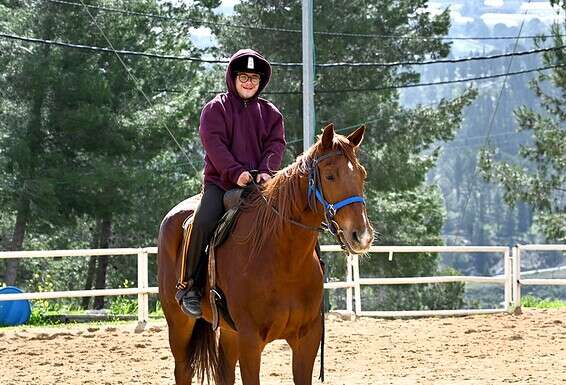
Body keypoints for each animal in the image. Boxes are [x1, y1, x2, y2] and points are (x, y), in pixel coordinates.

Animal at [158, 123, 374, 384]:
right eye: (330, 175)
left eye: (362, 174)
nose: (361, 236)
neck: (284, 260)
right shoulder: (250, 341)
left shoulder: (307, 340)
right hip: (180, 325)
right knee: (183, 370)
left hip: (228, 332)